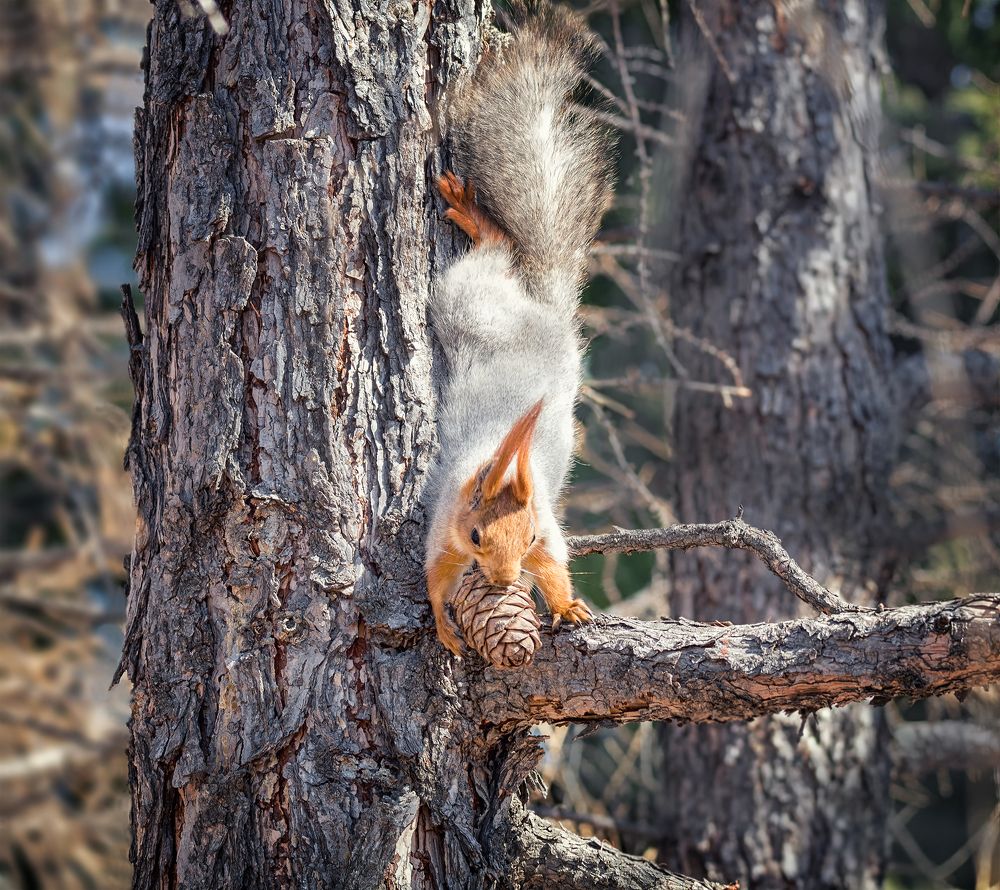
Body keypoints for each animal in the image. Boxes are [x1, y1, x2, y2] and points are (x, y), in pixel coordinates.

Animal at [424, 1, 615, 656]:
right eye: (478, 537)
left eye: (526, 537)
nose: (506, 582)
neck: (504, 459)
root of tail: (548, 317)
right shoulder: (444, 521)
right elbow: (434, 577)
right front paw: (444, 625)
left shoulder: (550, 530)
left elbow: (556, 569)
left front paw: (567, 606)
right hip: (464, 302)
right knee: (493, 254)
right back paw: (479, 223)